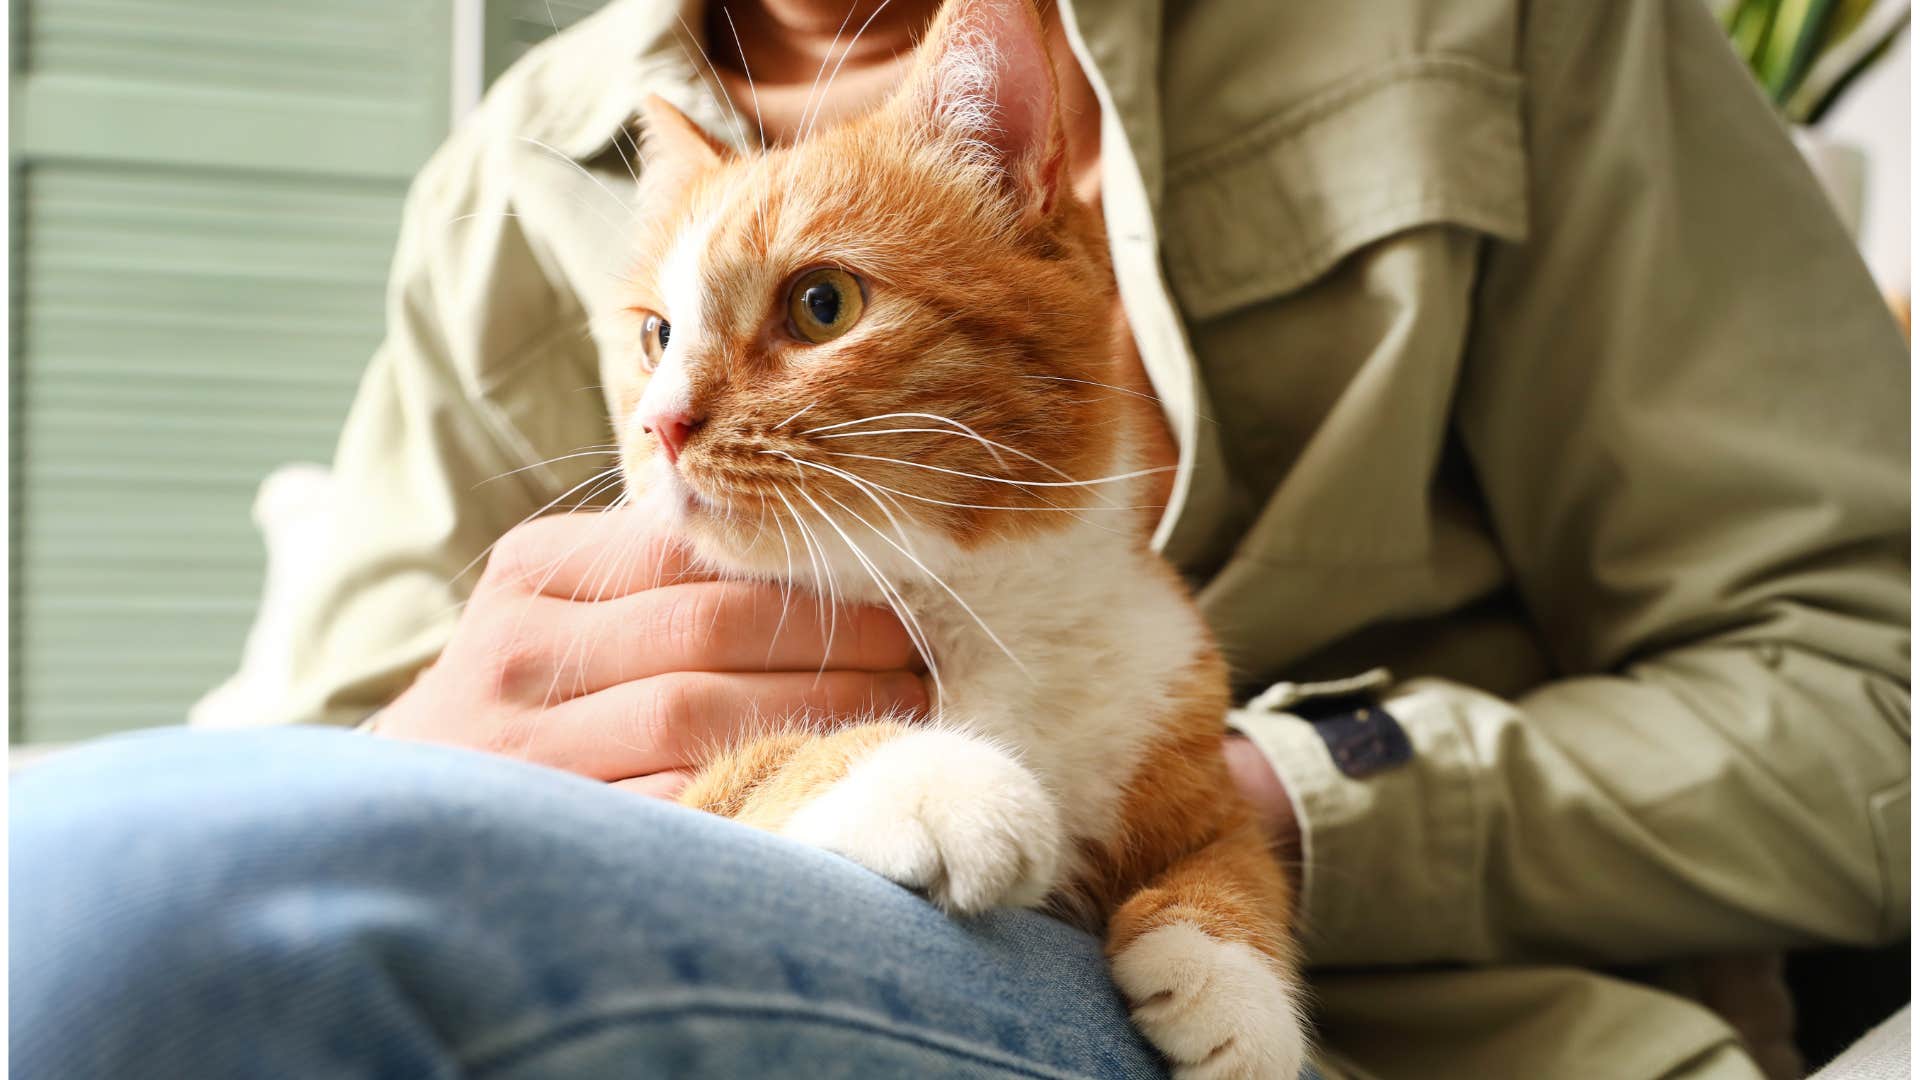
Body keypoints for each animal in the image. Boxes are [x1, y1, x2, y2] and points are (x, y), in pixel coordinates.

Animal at [614, 2, 1305, 1068]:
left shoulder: (1183, 720)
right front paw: (931, 774)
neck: (978, 604)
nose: (662, 424)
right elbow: (755, 763)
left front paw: (1233, 979)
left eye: (822, 304)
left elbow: (1236, 851)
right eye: (656, 336)